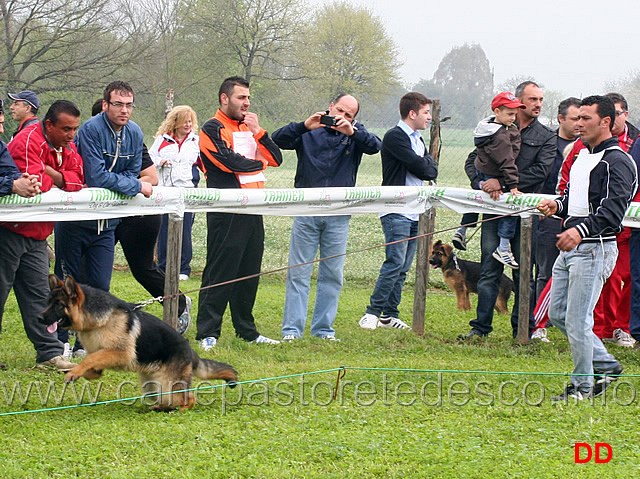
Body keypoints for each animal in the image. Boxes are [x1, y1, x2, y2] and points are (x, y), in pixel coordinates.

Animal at [38, 276, 238, 410]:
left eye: (58, 304)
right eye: (48, 302)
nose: (39, 318)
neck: (98, 321)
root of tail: (190, 350)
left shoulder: (120, 353)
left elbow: (89, 359)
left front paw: (73, 373)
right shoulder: (101, 354)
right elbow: (90, 364)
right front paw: (78, 372)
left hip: (167, 384)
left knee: (188, 398)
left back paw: (179, 409)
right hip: (152, 387)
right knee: (170, 398)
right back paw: (161, 408)